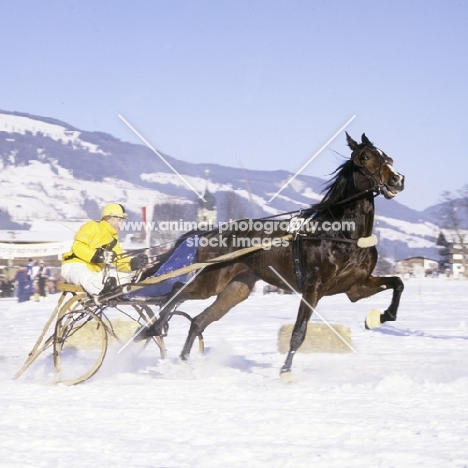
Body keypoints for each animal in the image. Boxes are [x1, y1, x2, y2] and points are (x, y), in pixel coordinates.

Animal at [141, 131, 404, 376]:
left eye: (388, 157)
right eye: (365, 157)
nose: (397, 180)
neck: (344, 236)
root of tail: (209, 231)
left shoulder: (355, 287)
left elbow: (397, 283)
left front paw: (380, 317)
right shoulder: (313, 288)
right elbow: (299, 331)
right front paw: (285, 371)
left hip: (237, 288)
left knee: (198, 320)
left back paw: (181, 360)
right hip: (211, 280)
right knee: (177, 291)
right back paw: (154, 328)